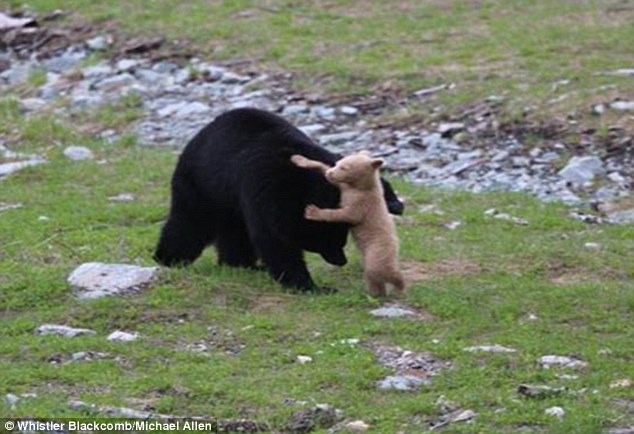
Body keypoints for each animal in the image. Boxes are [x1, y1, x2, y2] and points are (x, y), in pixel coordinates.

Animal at [152, 108, 400, 292]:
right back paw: (168, 258)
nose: (341, 261)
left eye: (342, 237)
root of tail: (198, 135)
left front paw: (393, 202)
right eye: (325, 240)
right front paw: (309, 285)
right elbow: (274, 239)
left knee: (233, 230)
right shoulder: (264, 188)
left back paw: (241, 264)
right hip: (201, 183)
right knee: (190, 222)